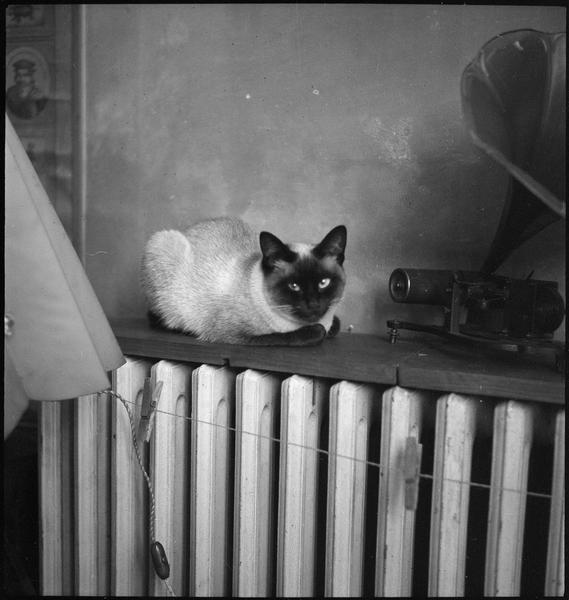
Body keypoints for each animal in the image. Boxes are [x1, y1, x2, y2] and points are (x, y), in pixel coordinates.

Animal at [142, 218, 346, 344]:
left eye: (323, 282)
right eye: (294, 286)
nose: (313, 304)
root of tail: (190, 228)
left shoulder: (332, 321)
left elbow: (336, 325)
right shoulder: (232, 335)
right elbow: (294, 335)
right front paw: (317, 331)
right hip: (163, 241)